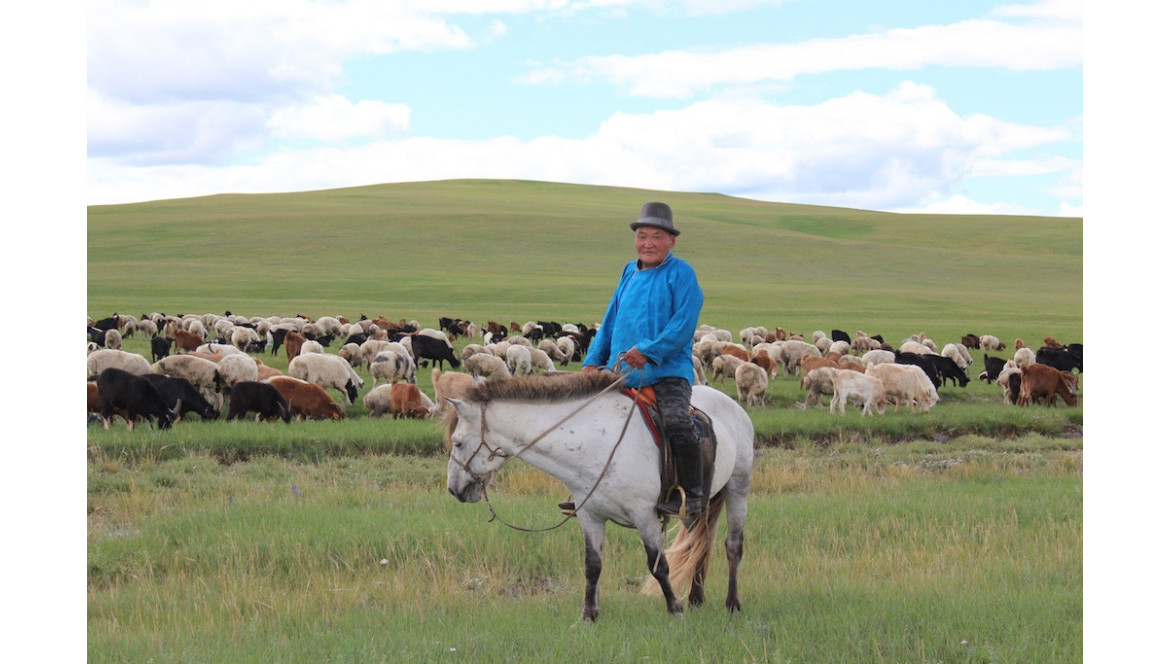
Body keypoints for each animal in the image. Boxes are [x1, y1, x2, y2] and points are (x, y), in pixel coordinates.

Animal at [442, 371, 753, 621]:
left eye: (458, 442)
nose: (453, 488)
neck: (597, 444)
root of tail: (731, 404)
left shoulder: (645, 516)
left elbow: (659, 565)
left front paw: (674, 609)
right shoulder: (590, 515)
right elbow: (593, 566)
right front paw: (589, 615)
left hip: (737, 487)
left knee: (732, 547)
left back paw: (733, 603)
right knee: (701, 544)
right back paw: (696, 599)